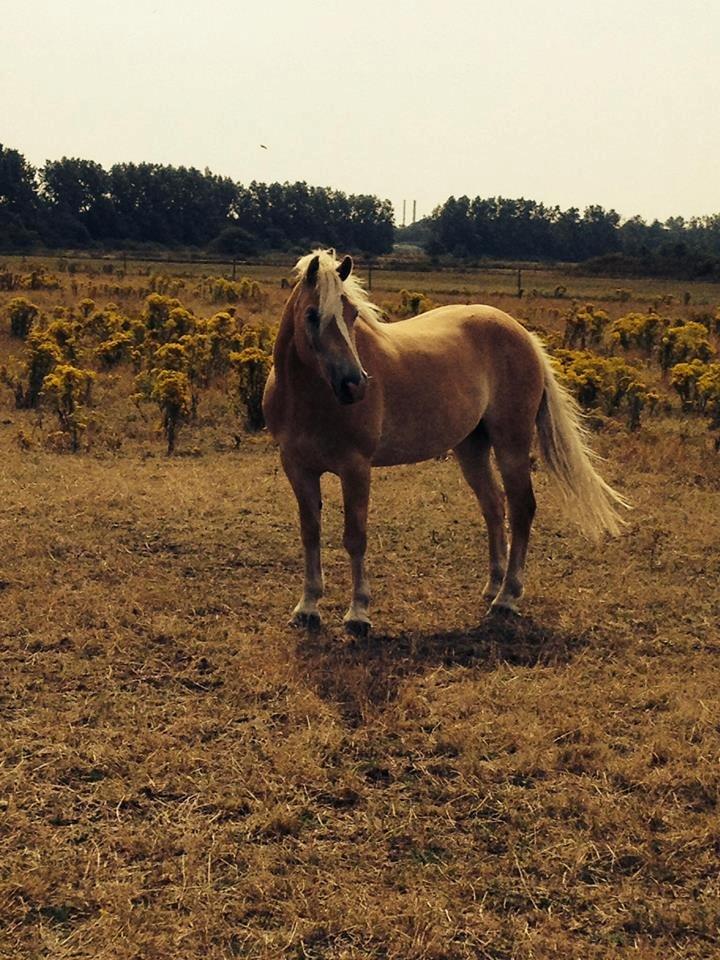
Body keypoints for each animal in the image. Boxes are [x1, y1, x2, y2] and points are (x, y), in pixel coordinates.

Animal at [264, 251, 632, 632]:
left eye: (351, 314)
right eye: (312, 314)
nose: (354, 384)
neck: (309, 397)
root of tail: (523, 335)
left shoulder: (356, 468)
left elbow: (355, 537)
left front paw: (358, 613)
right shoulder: (297, 468)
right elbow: (310, 532)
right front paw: (307, 607)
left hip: (512, 444)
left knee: (522, 508)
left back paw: (507, 597)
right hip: (471, 447)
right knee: (493, 505)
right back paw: (493, 585)